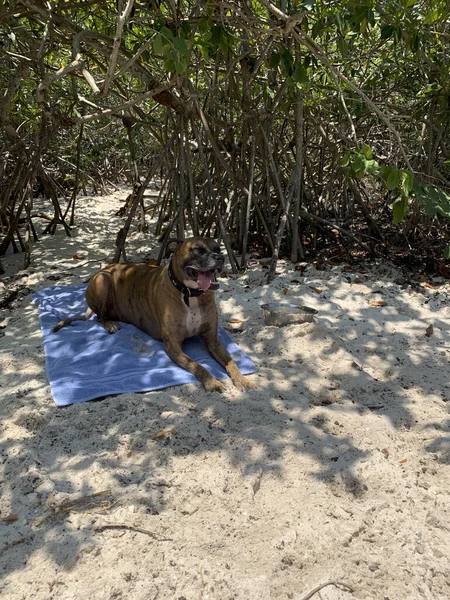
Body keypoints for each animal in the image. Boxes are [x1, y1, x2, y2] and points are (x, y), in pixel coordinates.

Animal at [53, 237, 253, 396]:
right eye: (198, 249)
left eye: (218, 248)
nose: (220, 258)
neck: (189, 294)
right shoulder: (173, 347)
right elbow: (198, 366)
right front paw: (212, 382)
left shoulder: (212, 340)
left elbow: (231, 362)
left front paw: (241, 380)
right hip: (103, 281)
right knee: (98, 317)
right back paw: (110, 324)